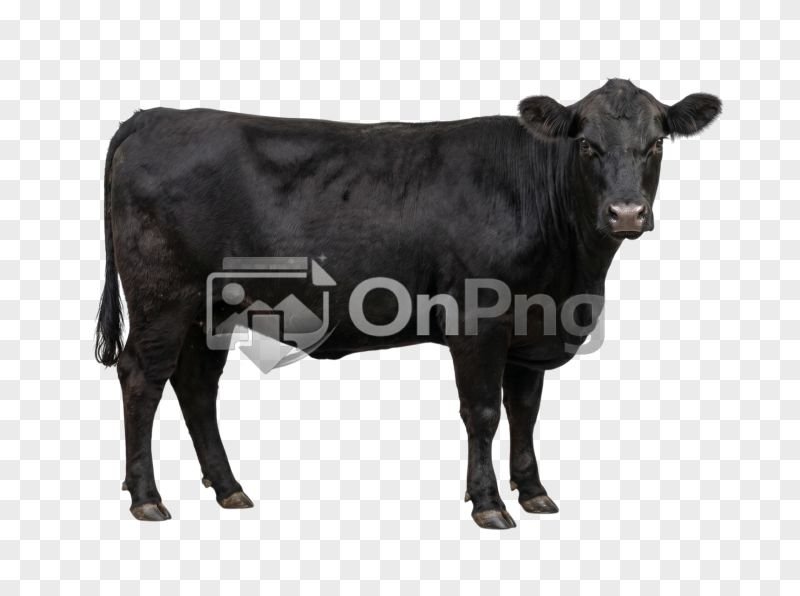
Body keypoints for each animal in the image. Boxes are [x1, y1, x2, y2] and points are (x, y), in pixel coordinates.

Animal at [95, 79, 721, 528]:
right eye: (587, 145)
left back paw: (229, 489)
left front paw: (535, 492)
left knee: (197, 385)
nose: (626, 213)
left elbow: (525, 410)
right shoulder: (478, 319)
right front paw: (488, 504)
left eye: (656, 143)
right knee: (142, 378)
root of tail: (155, 116)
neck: (573, 277)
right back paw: (147, 498)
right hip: (162, 299)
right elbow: (484, 412)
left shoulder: (534, 326)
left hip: (213, 309)